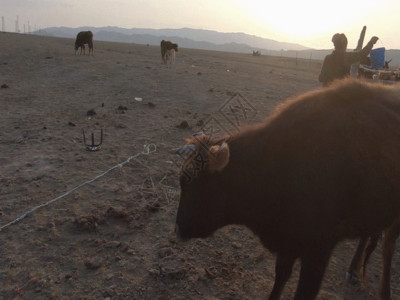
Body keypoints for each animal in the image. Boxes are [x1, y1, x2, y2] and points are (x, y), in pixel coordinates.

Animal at [176, 78, 400, 300]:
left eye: (191, 184)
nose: (178, 228)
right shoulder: (288, 242)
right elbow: (281, 277)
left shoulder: (318, 250)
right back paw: (354, 269)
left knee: (388, 247)